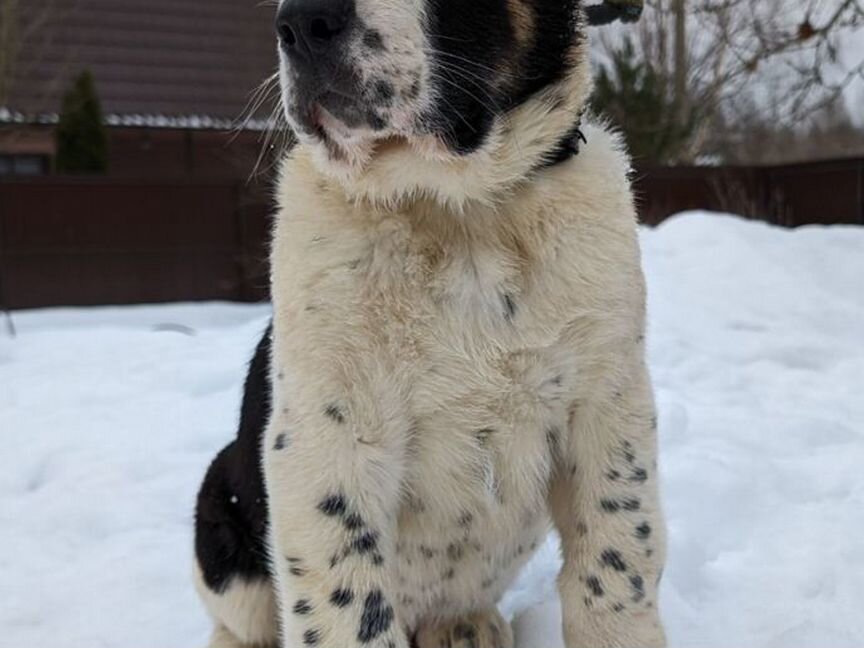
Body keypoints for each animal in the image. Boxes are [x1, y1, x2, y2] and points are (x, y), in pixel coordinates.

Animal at [194, 1, 668, 644]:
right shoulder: (328, 434)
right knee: (241, 620)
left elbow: (617, 560)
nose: (300, 25)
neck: (454, 211)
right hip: (221, 506)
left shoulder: (607, 404)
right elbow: (347, 602)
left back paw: (465, 625)